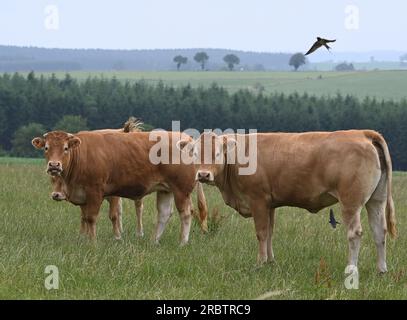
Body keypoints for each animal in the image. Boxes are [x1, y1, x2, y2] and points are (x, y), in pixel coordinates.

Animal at [32, 129, 207, 242]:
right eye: (46, 148)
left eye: (66, 148)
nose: (54, 165)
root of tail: (187, 139)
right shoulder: (83, 195)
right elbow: (85, 218)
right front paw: (85, 239)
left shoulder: (95, 191)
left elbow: (91, 218)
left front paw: (92, 242)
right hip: (166, 189)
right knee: (164, 214)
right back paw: (154, 241)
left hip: (181, 190)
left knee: (186, 214)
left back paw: (182, 242)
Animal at [179, 130, 398, 272]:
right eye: (195, 153)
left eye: (217, 153)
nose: (203, 174)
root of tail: (363, 133)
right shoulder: (270, 204)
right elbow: (270, 233)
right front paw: (270, 261)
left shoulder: (258, 200)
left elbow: (261, 233)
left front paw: (260, 263)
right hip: (376, 200)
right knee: (380, 231)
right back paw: (382, 270)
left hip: (350, 202)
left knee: (355, 234)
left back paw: (351, 270)